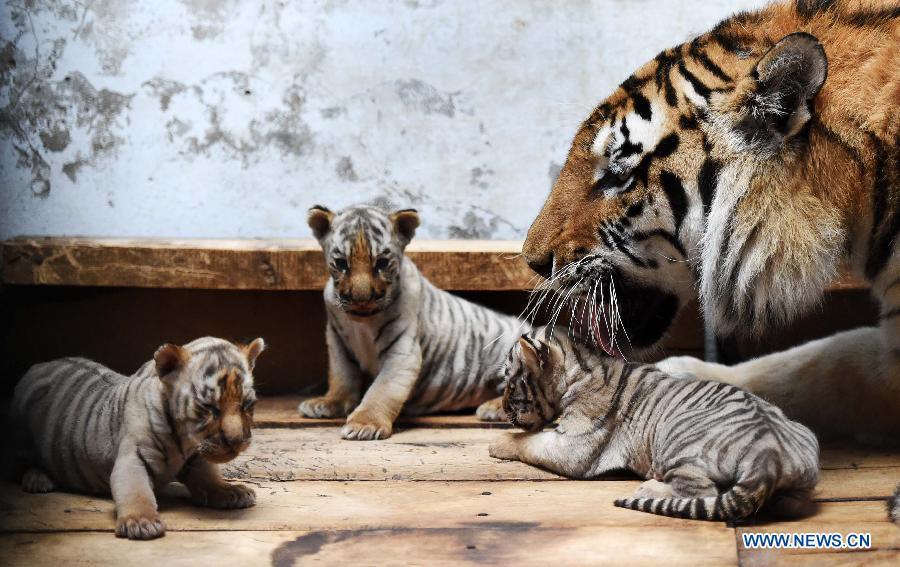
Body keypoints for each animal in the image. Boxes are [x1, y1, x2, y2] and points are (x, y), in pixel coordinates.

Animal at [8, 336, 265, 540]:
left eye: (246, 404)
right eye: (210, 407)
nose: (237, 441)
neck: (183, 441)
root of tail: (37, 366)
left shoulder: (196, 459)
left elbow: (209, 477)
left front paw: (231, 491)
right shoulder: (133, 458)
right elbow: (136, 491)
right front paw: (141, 522)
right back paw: (38, 479)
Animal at [298, 203, 528, 440]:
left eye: (381, 263)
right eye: (342, 263)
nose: (361, 300)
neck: (361, 323)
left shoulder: (402, 351)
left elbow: (383, 389)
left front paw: (365, 424)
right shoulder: (338, 342)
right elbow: (341, 375)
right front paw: (329, 402)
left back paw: (496, 408)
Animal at [489, 327, 820, 521]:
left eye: (510, 382)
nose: (503, 406)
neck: (582, 366)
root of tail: (770, 456)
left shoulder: (575, 446)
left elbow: (529, 442)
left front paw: (498, 443)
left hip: (677, 439)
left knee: (702, 493)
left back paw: (649, 488)